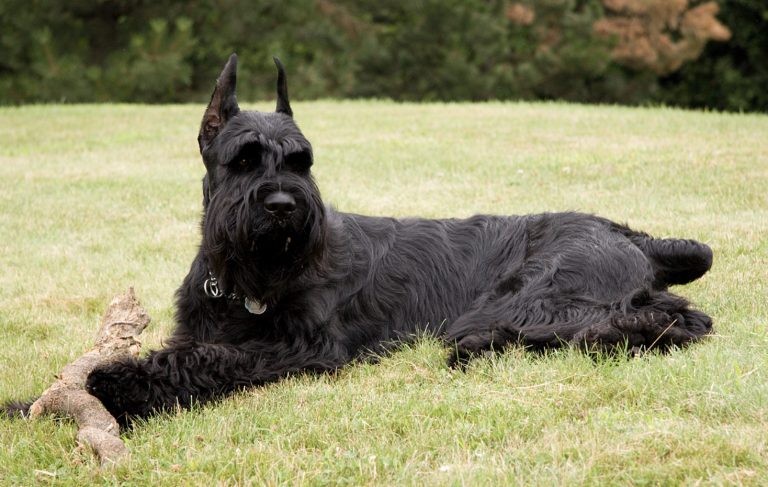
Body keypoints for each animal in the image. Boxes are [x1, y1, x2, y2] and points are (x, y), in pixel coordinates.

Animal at [4, 55, 712, 426]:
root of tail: (632, 235)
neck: (245, 280)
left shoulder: (301, 346)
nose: (285, 206)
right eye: (244, 159)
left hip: (531, 300)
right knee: (674, 316)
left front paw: (115, 387)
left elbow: (206, 361)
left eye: (302, 161)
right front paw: (27, 403)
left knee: (649, 322)